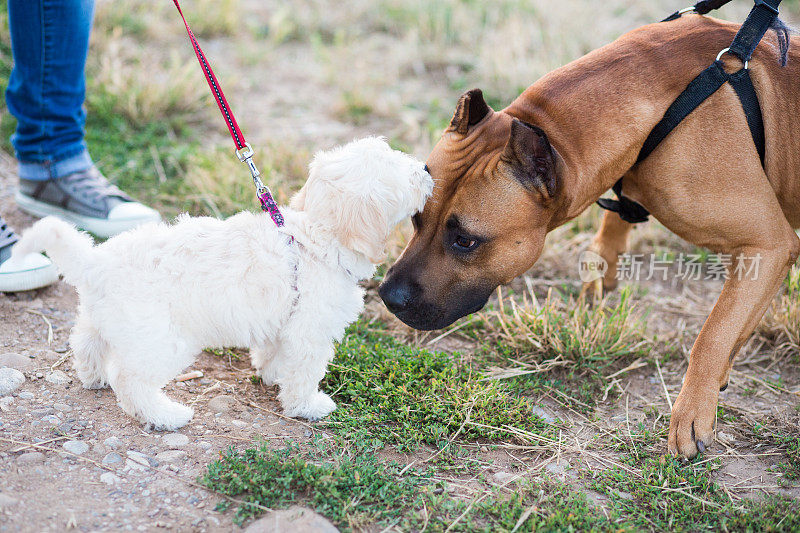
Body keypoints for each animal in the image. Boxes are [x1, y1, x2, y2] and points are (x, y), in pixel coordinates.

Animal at [12, 136, 434, 428]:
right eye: (403, 169)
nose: (428, 171)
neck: (314, 234)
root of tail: (95, 262)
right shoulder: (309, 334)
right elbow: (304, 373)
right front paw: (308, 406)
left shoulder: (281, 325)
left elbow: (273, 355)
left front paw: (271, 375)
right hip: (163, 342)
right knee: (130, 380)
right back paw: (166, 416)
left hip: (101, 320)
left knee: (85, 344)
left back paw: (93, 377)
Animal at [378, 14, 800, 460]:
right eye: (416, 218)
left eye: (466, 241)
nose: (388, 296)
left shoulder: (770, 245)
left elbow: (713, 333)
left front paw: (693, 411)